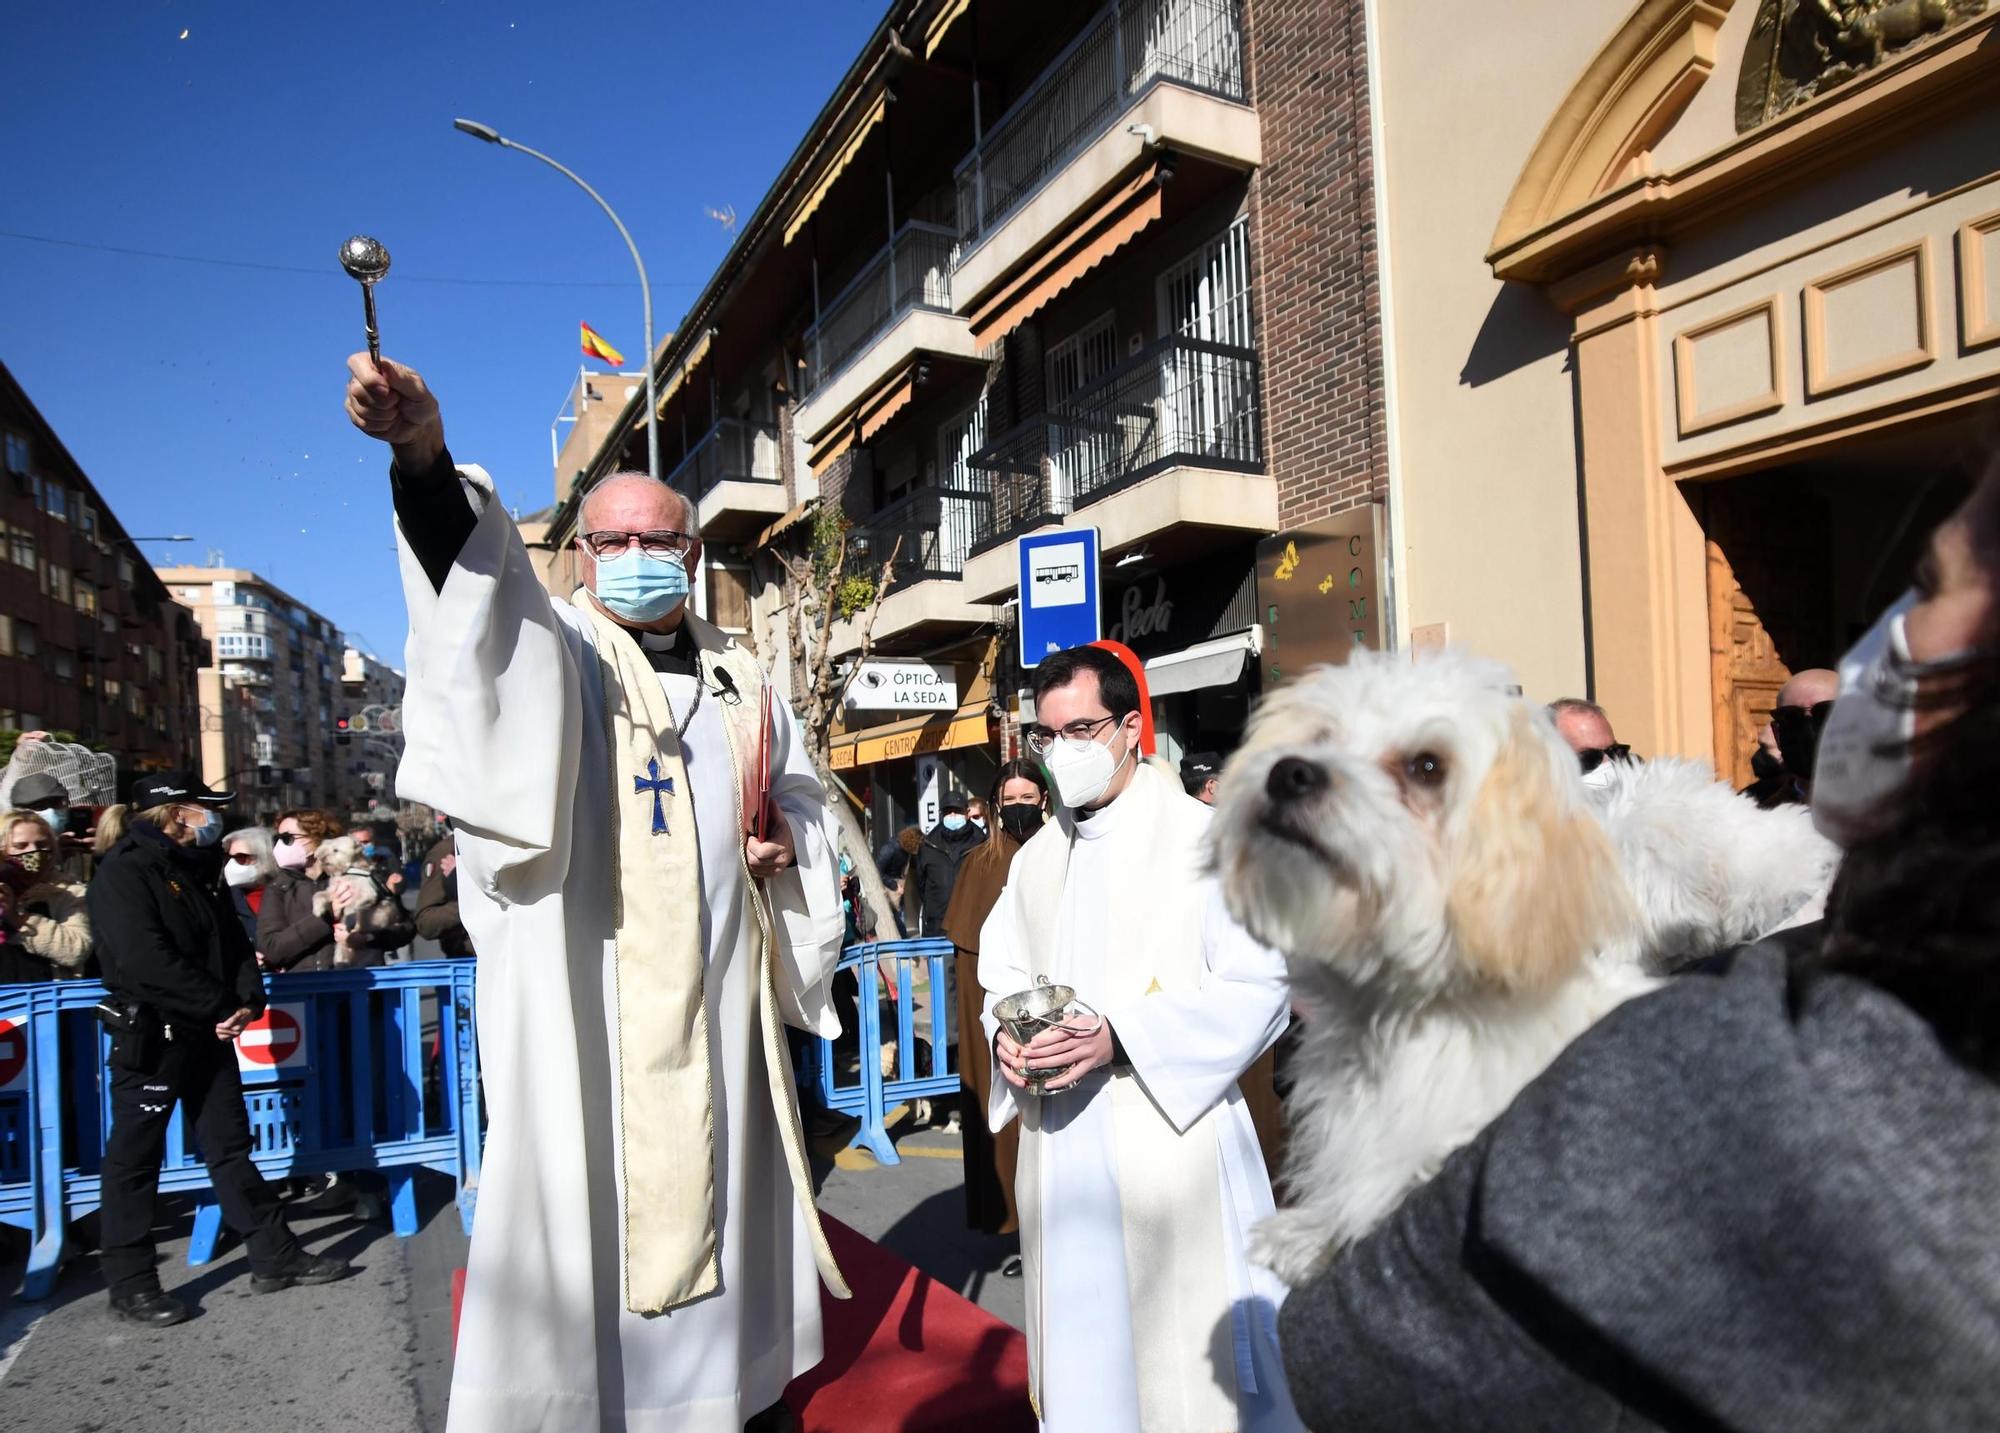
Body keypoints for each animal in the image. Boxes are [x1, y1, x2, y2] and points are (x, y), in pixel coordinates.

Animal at [306, 832, 404, 968]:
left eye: (335, 850)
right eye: (325, 848)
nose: (322, 858)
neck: (349, 870)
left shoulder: (366, 893)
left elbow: (353, 906)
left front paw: (349, 919)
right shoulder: (335, 890)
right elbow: (319, 894)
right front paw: (318, 909)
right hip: (341, 952)